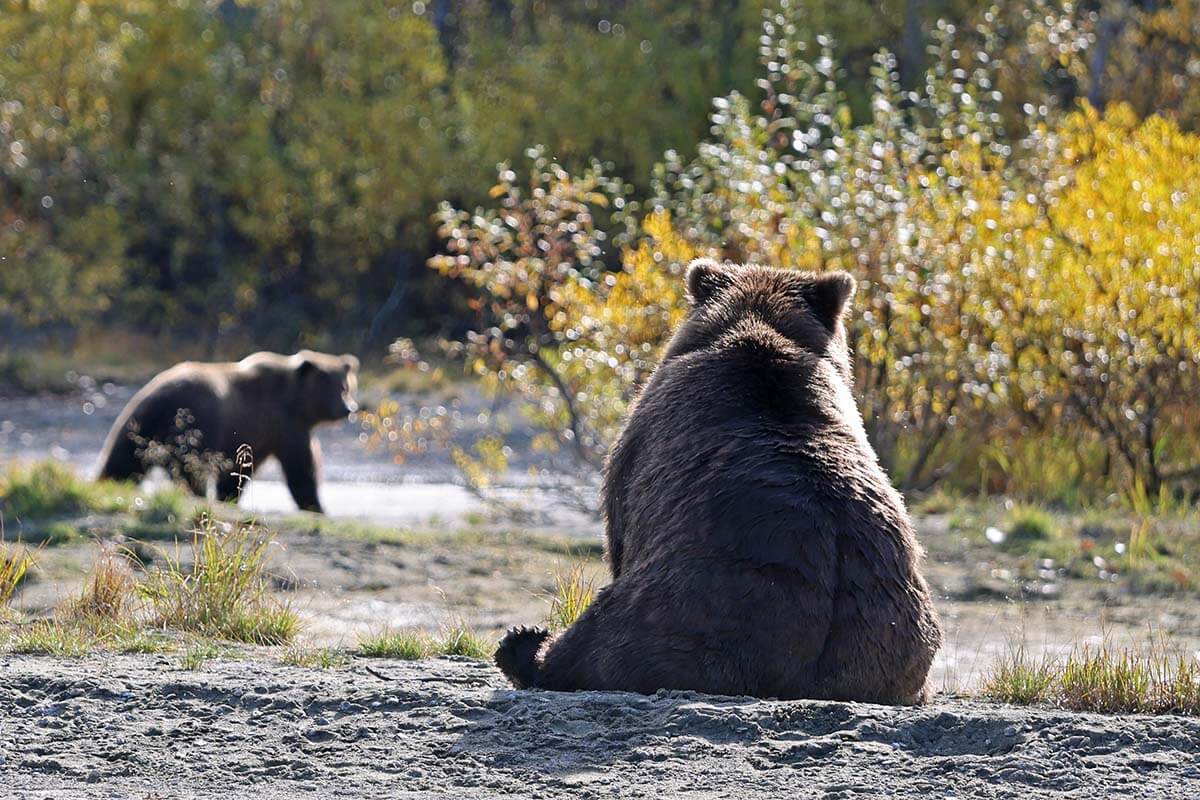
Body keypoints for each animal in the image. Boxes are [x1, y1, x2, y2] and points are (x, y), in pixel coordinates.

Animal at [96, 347, 357, 513]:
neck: (294, 399)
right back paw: (198, 493)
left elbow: (240, 470)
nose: (348, 409)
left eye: (345, 387)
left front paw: (230, 496)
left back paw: (107, 482)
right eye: (333, 387)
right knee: (192, 465)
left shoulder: (257, 434)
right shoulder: (285, 424)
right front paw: (317, 506)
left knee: (123, 461)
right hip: (194, 422)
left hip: (136, 426)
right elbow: (301, 467)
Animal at [496, 261, 945, 700]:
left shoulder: (641, 440)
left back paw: (524, 647)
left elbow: (618, 525)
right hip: (895, 640)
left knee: (603, 639)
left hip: (680, 608)